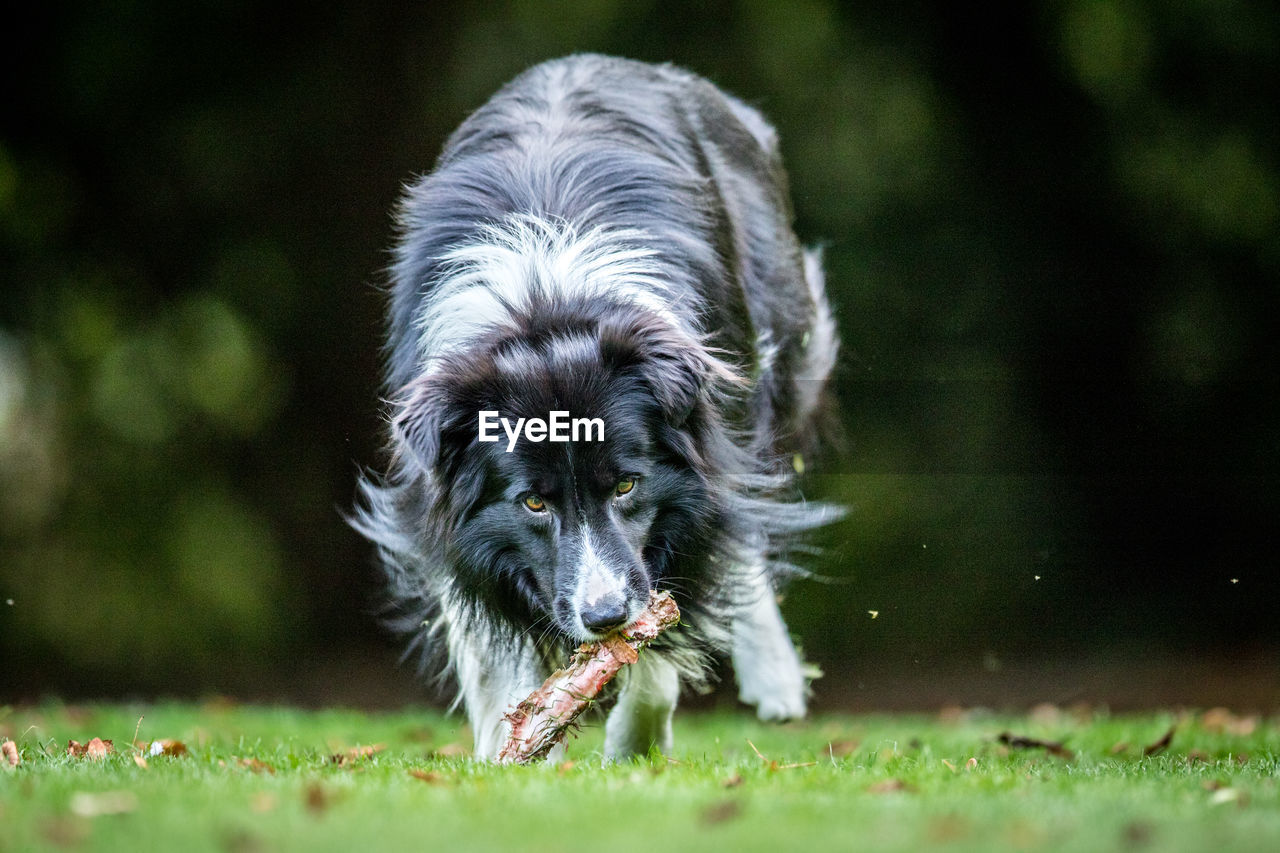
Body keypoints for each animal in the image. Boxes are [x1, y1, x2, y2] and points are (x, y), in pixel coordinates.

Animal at [355, 53, 844, 758]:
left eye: (626, 486)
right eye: (533, 503)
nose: (604, 615)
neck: (546, 303)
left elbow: (667, 619)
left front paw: (633, 744)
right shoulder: (440, 495)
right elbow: (491, 646)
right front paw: (513, 750)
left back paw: (774, 680)